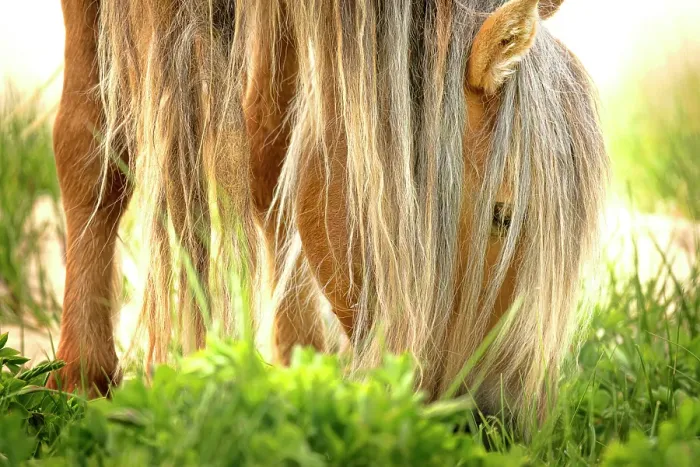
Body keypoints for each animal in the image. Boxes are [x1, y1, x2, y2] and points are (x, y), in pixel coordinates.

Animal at [49, 0, 607, 426]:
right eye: (502, 216)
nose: (502, 422)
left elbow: (275, 161)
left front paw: (300, 367)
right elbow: (89, 147)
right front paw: (84, 377)